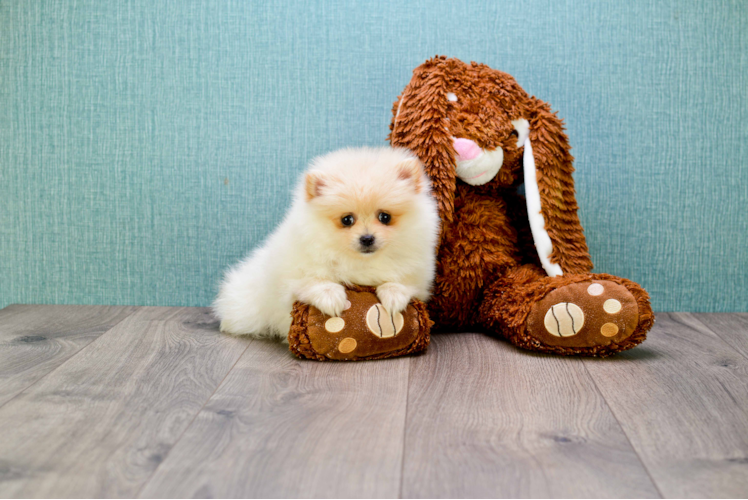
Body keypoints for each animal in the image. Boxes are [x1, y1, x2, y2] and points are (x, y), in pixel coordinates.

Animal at [213, 146, 442, 340]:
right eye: (347, 219)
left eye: (385, 217)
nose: (367, 238)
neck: (359, 261)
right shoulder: (292, 276)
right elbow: (313, 281)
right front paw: (331, 297)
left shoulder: (418, 274)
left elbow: (402, 282)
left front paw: (394, 296)